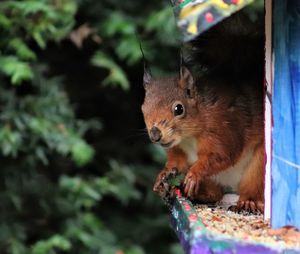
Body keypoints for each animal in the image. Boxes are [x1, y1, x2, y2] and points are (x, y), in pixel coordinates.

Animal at [142, 66, 264, 213]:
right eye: (143, 108)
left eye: (179, 108)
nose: (155, 135)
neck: (187, 137)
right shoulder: (177, 148)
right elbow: (177, 162)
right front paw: (164, 174)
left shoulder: (224, 130)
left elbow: (221, 155)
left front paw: (194, 174)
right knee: (216, 193)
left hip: (258, 168)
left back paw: (248, 202)